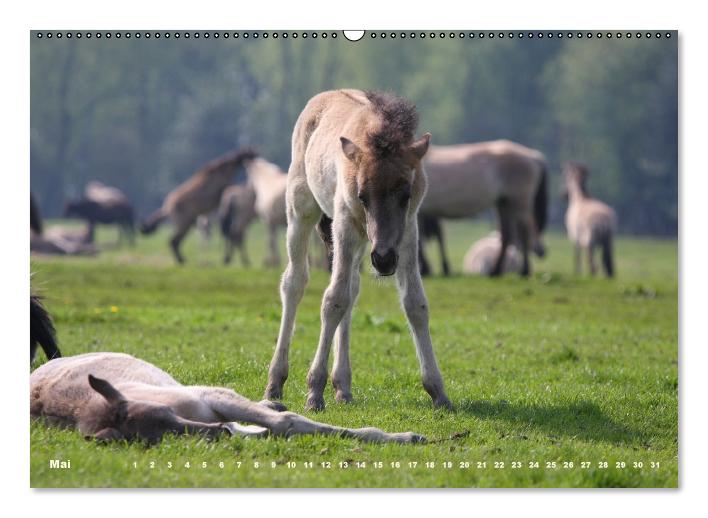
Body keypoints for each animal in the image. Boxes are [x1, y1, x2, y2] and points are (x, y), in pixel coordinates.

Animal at [262, 90, 450, 414]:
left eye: (406, 194)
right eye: (362, 196)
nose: (384, 260)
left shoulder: (408, 232)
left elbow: (415, 303)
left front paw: (437, 390)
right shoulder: (344, 225)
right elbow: (333, 300)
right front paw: (314, 392)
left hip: (363, 241)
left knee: (353, 287)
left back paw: (343, 386)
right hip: (302, 211)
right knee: (294, 282)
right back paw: (276, 381)